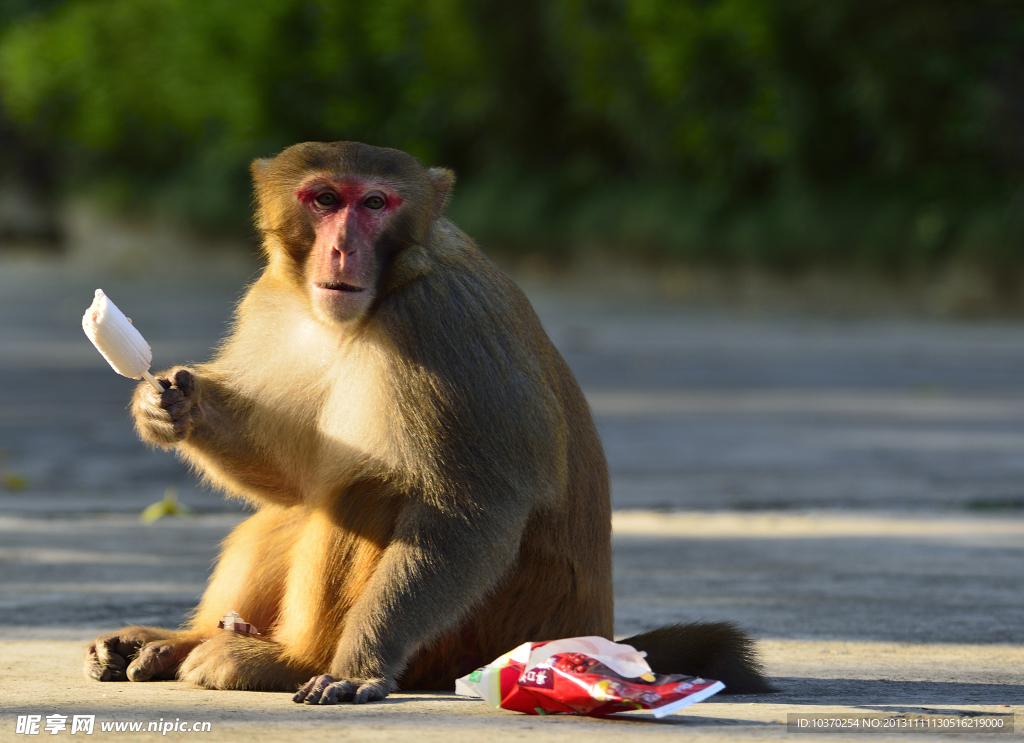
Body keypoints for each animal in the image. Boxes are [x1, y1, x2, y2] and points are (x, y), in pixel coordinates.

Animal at [83, 142, 770, 708]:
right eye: (325, 200)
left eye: (375, 203)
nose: (343, 247)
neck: (385, 291)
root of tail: (589, 634)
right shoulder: (271, 300)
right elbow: (295, 474)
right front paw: (172, 405)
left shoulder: (441, 322)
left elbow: (473, 506)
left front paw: (357, 666)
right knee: (303, 504)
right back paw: (180, 641)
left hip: (479, 636)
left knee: (366, 491)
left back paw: (287, 660)